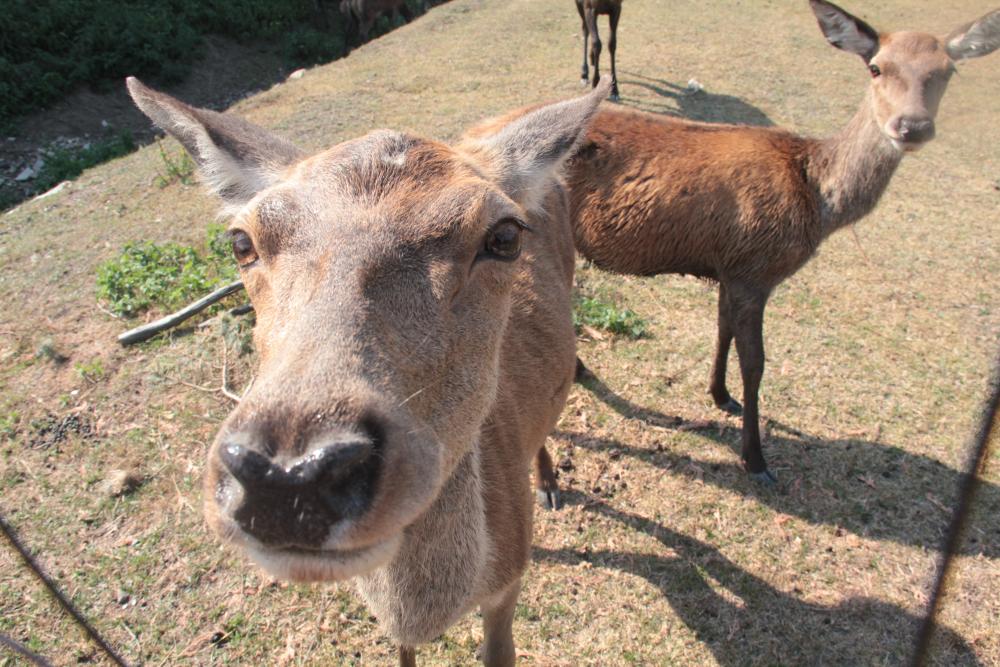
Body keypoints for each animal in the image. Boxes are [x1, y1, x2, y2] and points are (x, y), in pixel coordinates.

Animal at [125, 75, 608, 664]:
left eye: (505, 236)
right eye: (241, 242)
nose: (289, 475)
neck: (427, 607)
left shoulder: (509, 582)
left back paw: (551, 483)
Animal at [564, 1, 1000, 486]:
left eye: (947, 71)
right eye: (876, 67)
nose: (912, 126)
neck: (817, 197)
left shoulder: (730, 268)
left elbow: (722, 330)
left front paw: (720, 395)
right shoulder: (754, 268)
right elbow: (755, 363)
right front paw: (755, 458)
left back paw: (579, 367)